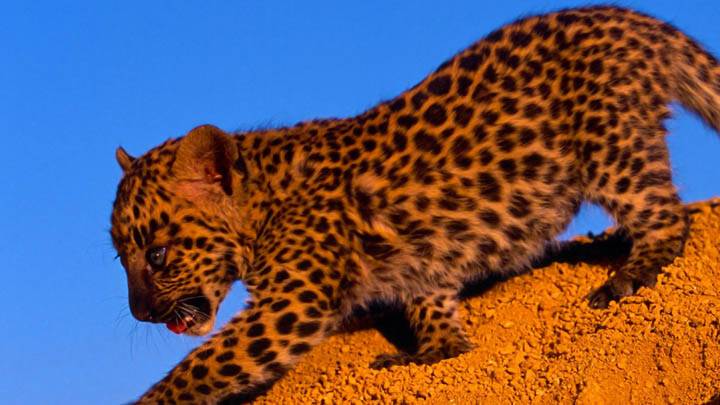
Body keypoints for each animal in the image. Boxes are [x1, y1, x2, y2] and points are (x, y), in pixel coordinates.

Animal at [110, 6, 720, 404]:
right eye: (122, 258)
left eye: (157, 254)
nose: (141, 313)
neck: (261, 204)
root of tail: (631, 19)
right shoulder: (422, 268)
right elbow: (432, 307)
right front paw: (434, 350)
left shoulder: (292, 303)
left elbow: (206, 363)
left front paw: (152, 400)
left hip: (610, 146)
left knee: (664, 212)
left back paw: (633, 272)